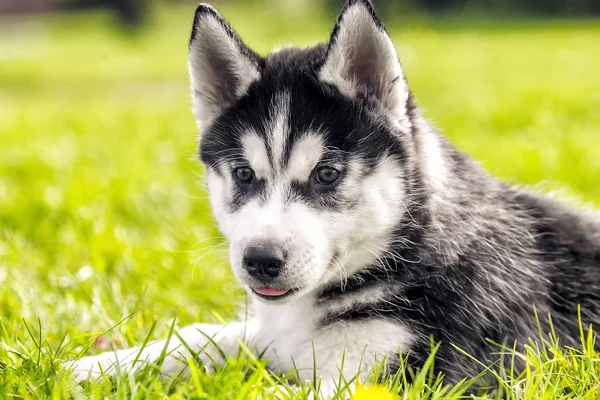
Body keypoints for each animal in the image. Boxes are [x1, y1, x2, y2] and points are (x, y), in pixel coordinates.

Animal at [72, 0, 600, 396]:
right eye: (243, 174)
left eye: (326, 175)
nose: (260, 260)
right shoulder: (273, 335)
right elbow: (201, 336)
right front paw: (95, 365)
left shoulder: (403, 373)